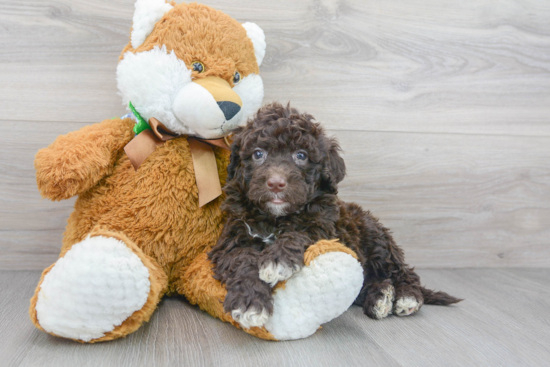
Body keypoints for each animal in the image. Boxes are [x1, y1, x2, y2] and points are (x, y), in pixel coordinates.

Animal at [209, 102, 464, 324]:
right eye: (258, 154)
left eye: (301, 155)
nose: (276, 183)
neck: (276, 218)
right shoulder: (231, 240)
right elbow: (243, 260)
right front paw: (250, 302)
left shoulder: (325, 229)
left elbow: (300, 234)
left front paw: (277, 259)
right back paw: (380, 297)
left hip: (378, 240)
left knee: (403, 273)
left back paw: (405, 297)